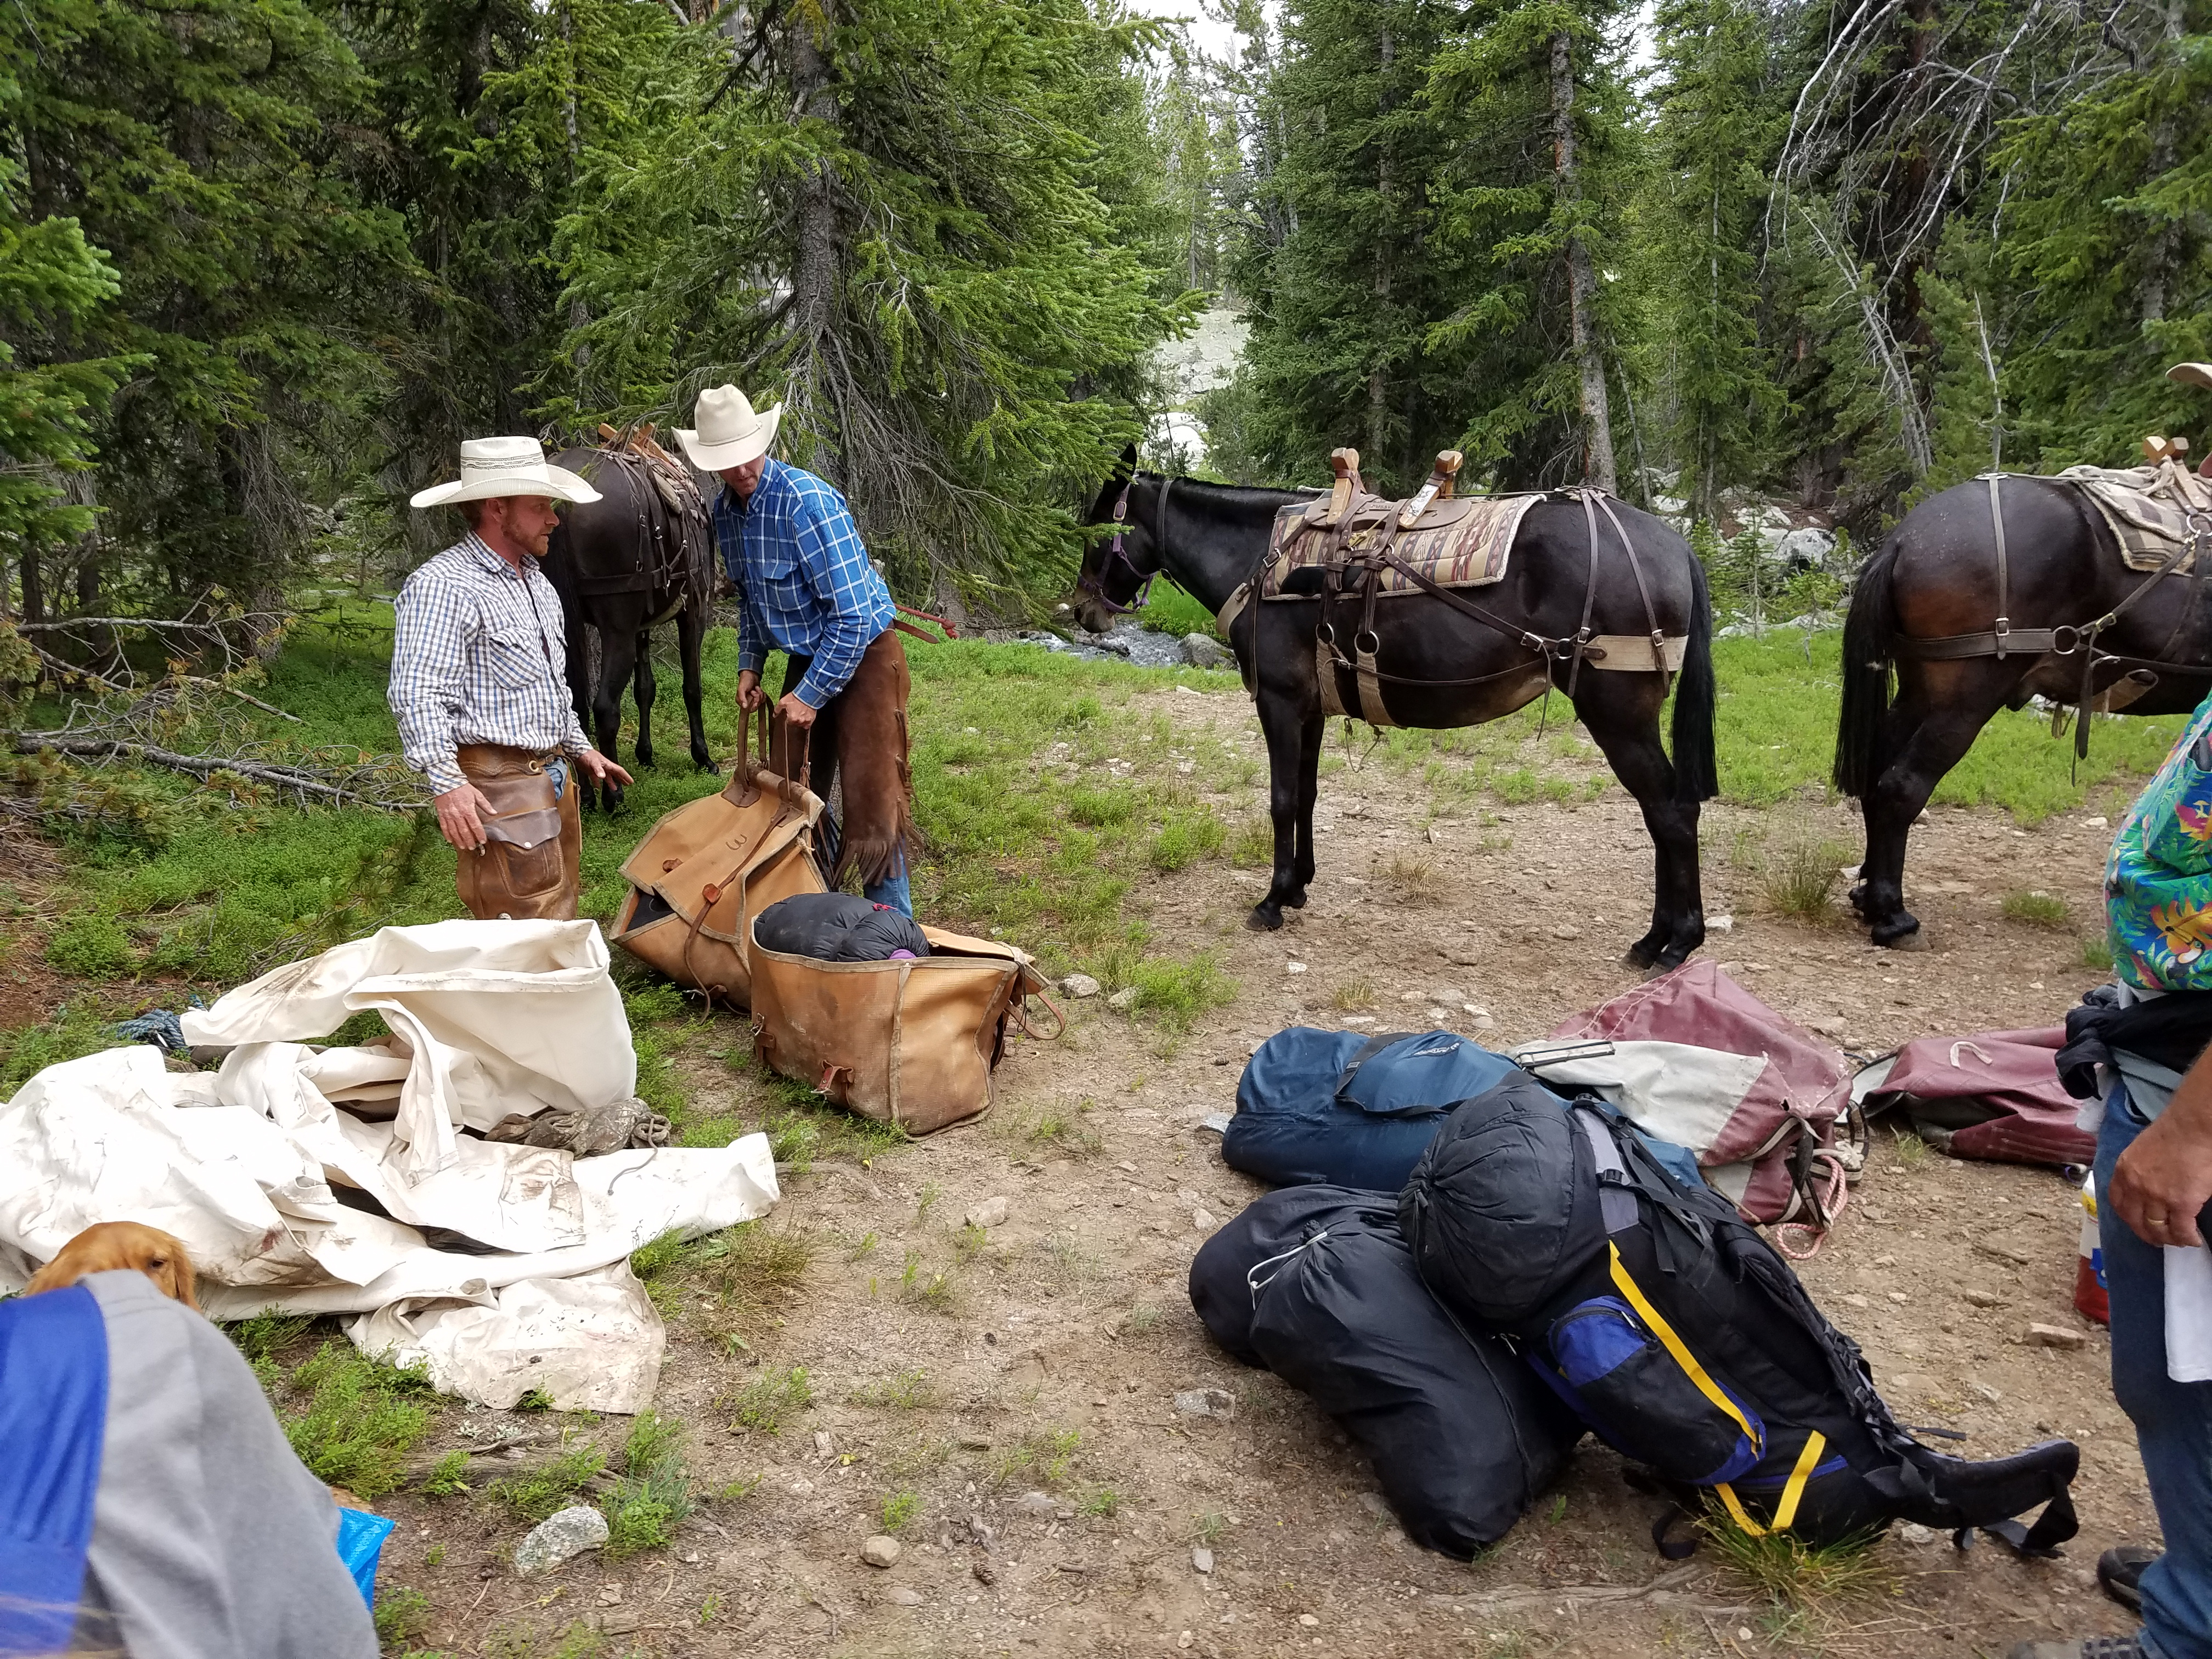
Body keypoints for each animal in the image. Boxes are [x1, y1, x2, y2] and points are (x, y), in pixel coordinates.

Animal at [539, 438, 712, 809]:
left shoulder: (641, 624)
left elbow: (645, 688)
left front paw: (645, 754)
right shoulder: (695, 609)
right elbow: (692, 687)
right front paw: (703, 756)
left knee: (576, 707)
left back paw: (587, 796)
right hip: (616, 630)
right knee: (605, 706)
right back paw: (614, 796)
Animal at [1070, 455, 1725, 973]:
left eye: (1097, 535)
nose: (1079, 611)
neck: (1264, 558)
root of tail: (1673, 544)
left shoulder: (1278, 701)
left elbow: (1281, 801)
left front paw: (1273, 900)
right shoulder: (1311, 708)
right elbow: (1306, 797)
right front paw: (1300, 886)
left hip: (1617, 713)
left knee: (1670, 811)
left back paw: (1673, 941)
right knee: (1665, 812)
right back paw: (1661, 939)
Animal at [1831, 473, 2212, 955]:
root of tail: (1905, 539)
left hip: (1921, 691)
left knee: (1879, 772)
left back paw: (1868, 896)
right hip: (1967, 700)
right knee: (1903, 787)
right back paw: (1892, 915)